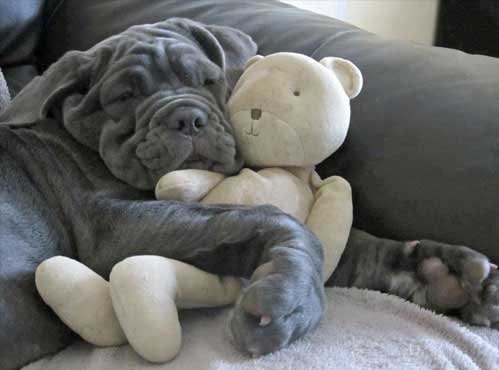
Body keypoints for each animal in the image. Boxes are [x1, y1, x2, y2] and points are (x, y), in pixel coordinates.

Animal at [0, 17, 499, 370]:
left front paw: (445, 272)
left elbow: (352, 249)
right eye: (123, 97)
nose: (187, 118)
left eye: (207, 79)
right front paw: (290, 298)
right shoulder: (116, 225)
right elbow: (273, 217)